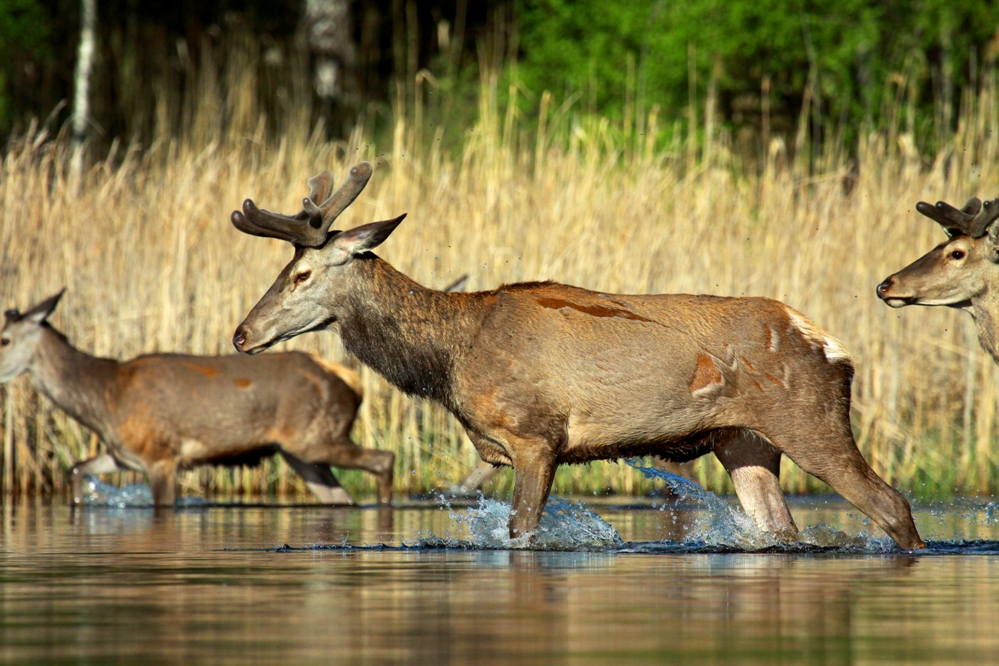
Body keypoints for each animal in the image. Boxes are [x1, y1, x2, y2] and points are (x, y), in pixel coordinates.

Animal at [0, 290, 394, 504]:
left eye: (3, 338)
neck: (105, 398)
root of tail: (352, 380)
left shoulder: (161, 454)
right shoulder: (125, 454)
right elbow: (76, 469)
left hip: (316, 437)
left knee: (384, 459)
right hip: (300, 454)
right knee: (341, 497)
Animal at [230, 163, 924, 548]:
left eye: (301, 273)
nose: (240, 334)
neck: (449, 357)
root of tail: (830, 344)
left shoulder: (536, 434)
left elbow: (522, 533)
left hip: (809, 417)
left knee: (891, 503)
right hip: (743, 440)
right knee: (782, 528)